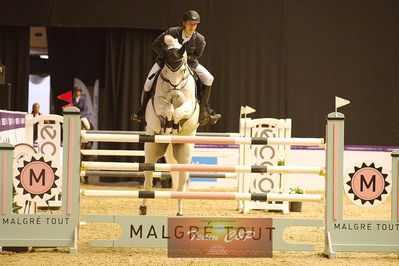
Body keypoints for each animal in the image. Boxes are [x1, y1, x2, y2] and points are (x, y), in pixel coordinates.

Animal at [141, 34, 200, 216]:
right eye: (166, 67)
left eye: (182, 69)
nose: (174, 88)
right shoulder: (159, 103)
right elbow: (167, 108)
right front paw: (168, 124)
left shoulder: (189, 105)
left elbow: (179, 112)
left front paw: (174, 124)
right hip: (152, 148)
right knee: (148, 177)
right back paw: (143, 207)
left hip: (184, 151)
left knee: (181, 180)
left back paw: (180, 210)